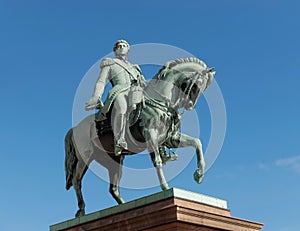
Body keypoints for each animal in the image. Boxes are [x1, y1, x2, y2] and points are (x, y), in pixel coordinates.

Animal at [65, 57, 216, 217]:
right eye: (198, 84)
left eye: (205, 87)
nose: (190, 105)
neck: (159, 101)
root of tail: (74, 128)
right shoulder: (151, 135)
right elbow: (157, 161)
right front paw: (165, 187)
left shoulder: (171, 138)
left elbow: (197, 143)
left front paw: (199, 175)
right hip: (85, 158)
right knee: (76, 181)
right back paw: (81, 210)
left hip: (114, 161)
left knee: (113, 188)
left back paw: (123, 205)